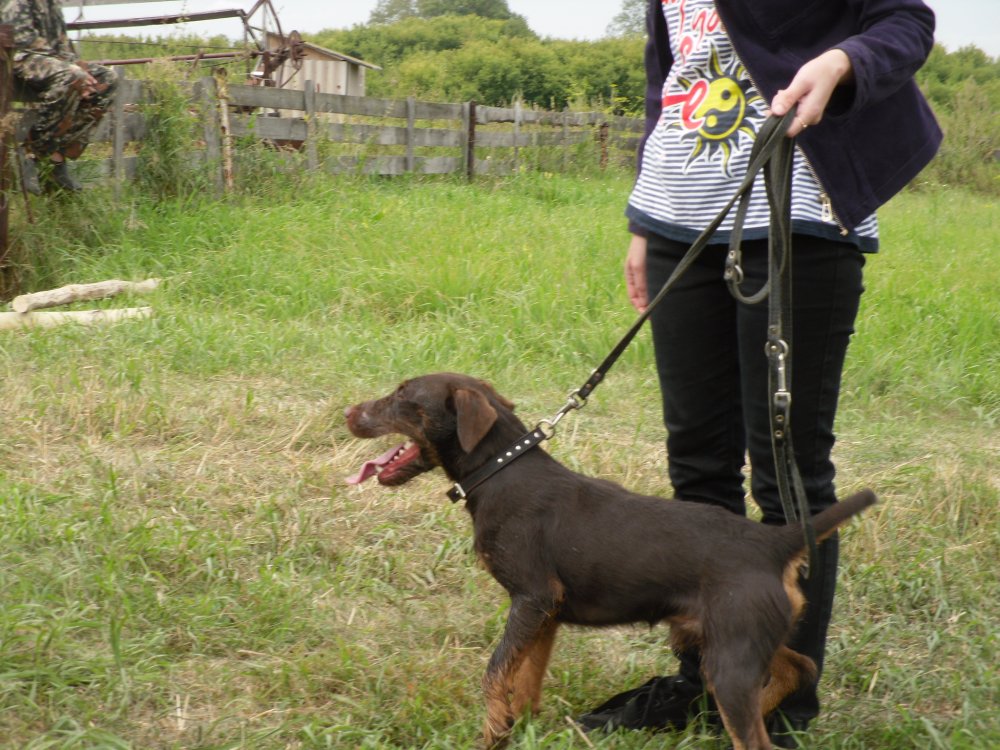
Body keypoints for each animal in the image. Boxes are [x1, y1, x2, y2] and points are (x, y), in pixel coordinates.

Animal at [345, 372, 876, 750]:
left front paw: (491, 735)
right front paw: (522, 730)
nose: (350, 411)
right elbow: (526, 680)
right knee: (800, 666)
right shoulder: (546, 614)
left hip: (731, 654)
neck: (499, 470)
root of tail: (774, 544)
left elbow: (496, 672)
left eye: (402, 397)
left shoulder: (531, 597)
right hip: (733, 639)